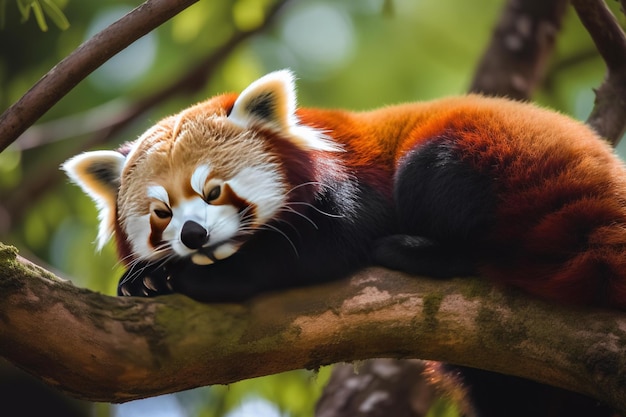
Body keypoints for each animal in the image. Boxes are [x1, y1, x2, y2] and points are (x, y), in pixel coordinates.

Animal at [63, 70, 624, 308]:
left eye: (214, 192)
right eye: (162, 213)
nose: (193, 236)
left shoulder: (352, 185)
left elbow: (324, 247)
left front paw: (204, 280)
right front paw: (148, 279)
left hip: (492, 153)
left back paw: (415, 250)